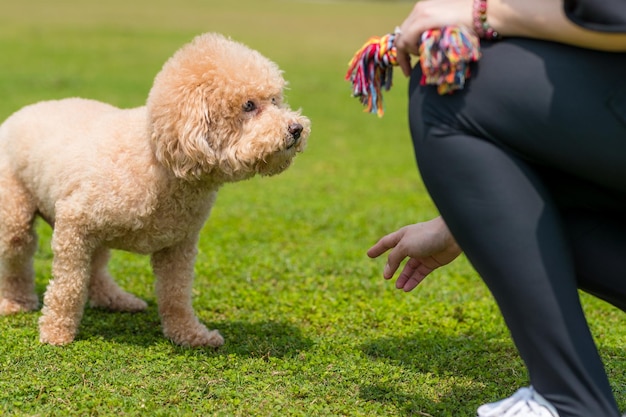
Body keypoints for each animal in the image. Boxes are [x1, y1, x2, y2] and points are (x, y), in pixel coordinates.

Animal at [0, 31, 310, 344]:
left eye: (275, 100)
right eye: (248, 105)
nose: (296, 129)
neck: (160, 159)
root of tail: (19, 113)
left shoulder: (179, 244)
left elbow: (176, 293)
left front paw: (190, 334)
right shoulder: (75, 224)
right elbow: (69, 285)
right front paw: (56, 332)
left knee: (96, 265)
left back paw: (115, 299)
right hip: (15, 209)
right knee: (18, 256)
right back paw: (17, 302)